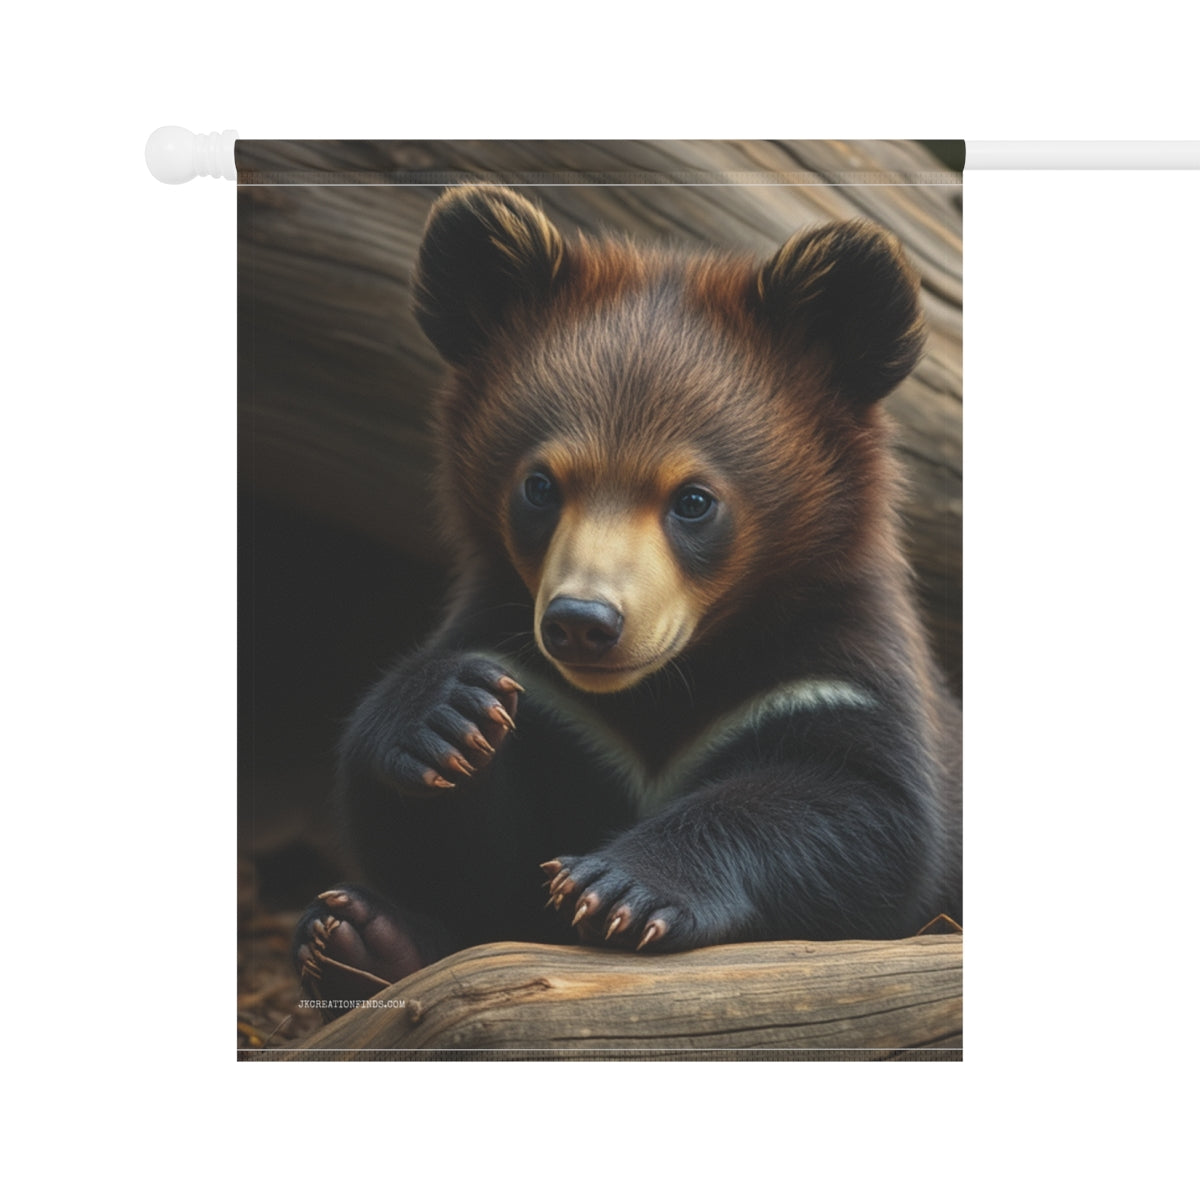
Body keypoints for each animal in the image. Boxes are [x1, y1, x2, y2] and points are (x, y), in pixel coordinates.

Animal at [293, 184, 962, 1006]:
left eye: (694, 501)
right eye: (540, 485)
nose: (583, 623)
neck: (667, 683)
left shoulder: (828, 672)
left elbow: (867, 813)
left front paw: (618, 888)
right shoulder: (541, 688)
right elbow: (462, 855)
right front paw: (447, 718)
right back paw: (354, 936)